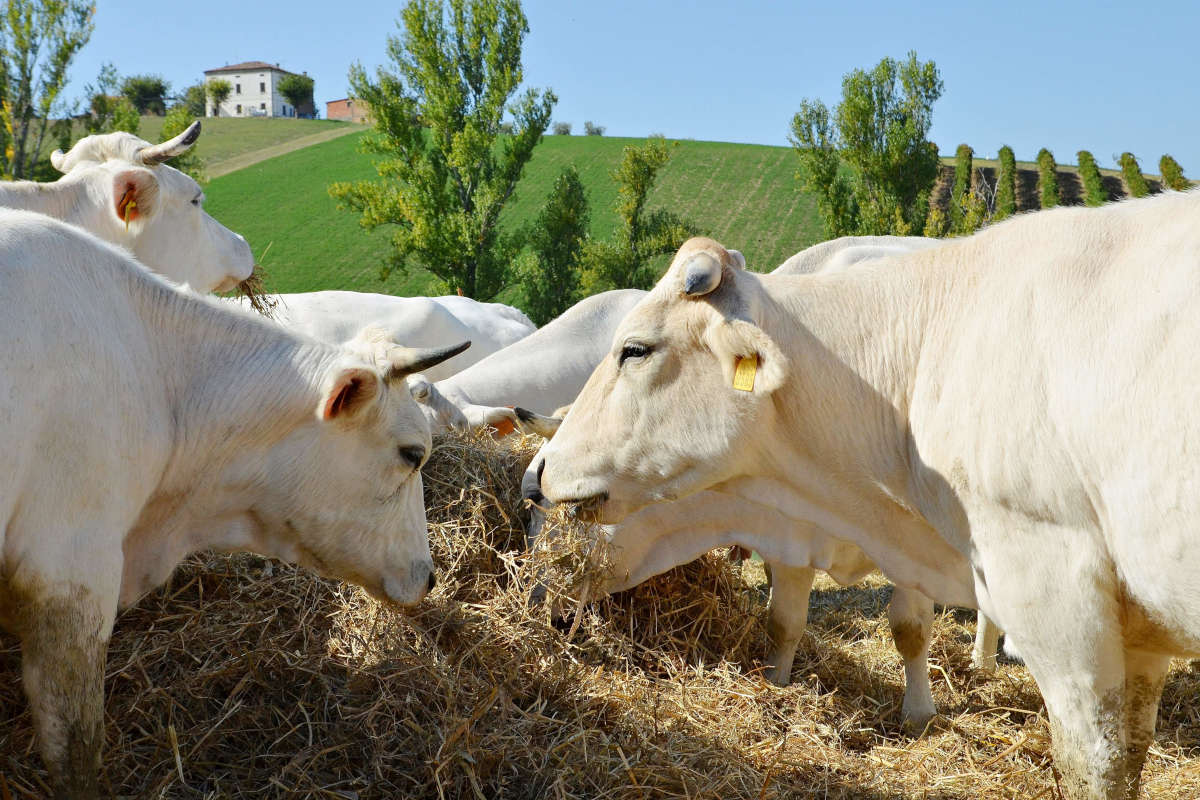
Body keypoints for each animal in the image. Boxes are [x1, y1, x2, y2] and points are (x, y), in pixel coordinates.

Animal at [544, 208, 1200, 800]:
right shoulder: (798, 534)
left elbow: (920, 636)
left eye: (634, 349)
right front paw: (777, 688)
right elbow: (784, 623)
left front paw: (918, 713)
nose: (538, 473)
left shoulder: (1049, 586)